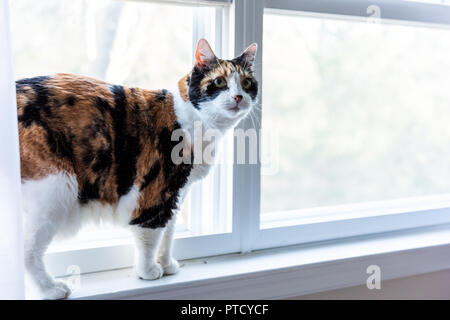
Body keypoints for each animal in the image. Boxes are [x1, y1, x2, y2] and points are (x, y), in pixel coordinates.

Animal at [17, 38, 258, 298]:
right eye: (219, 82)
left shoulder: (175, 195)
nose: (238, 97)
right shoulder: (155, 194)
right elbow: (150, 236)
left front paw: (167, 265)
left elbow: (168, 233)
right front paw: (148, 271)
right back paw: (50, 288)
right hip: (56, 189)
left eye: (247, 83)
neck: (199, 124)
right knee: (26, 251)